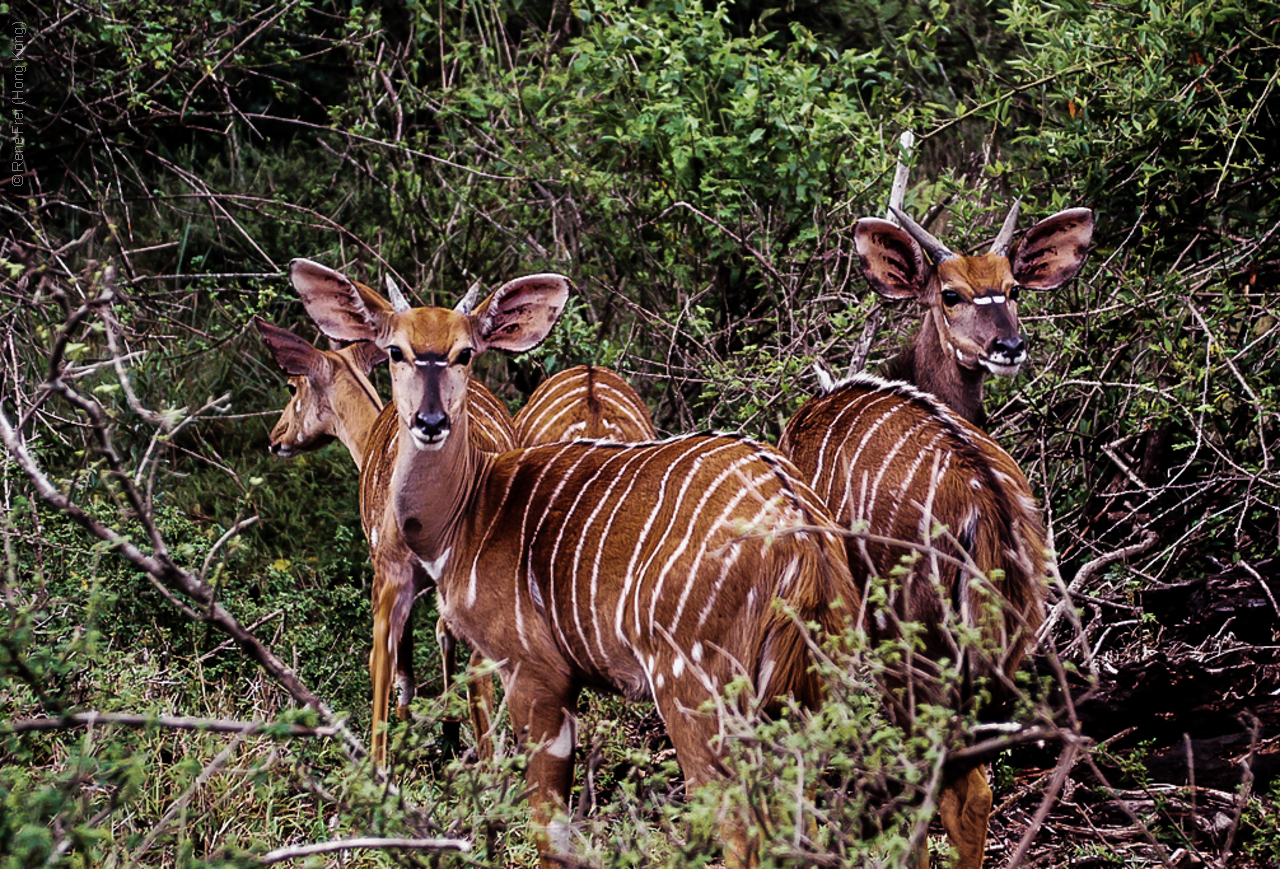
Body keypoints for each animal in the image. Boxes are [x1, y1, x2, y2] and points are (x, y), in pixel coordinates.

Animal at [293, 259, 860, 869]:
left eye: (465, 353)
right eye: (396, 350)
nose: (430, 420)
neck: (468, 511)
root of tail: (797, 524)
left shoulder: (534, 671)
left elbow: (551, 831)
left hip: (693, 686)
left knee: (738, 824)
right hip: (809, 691)